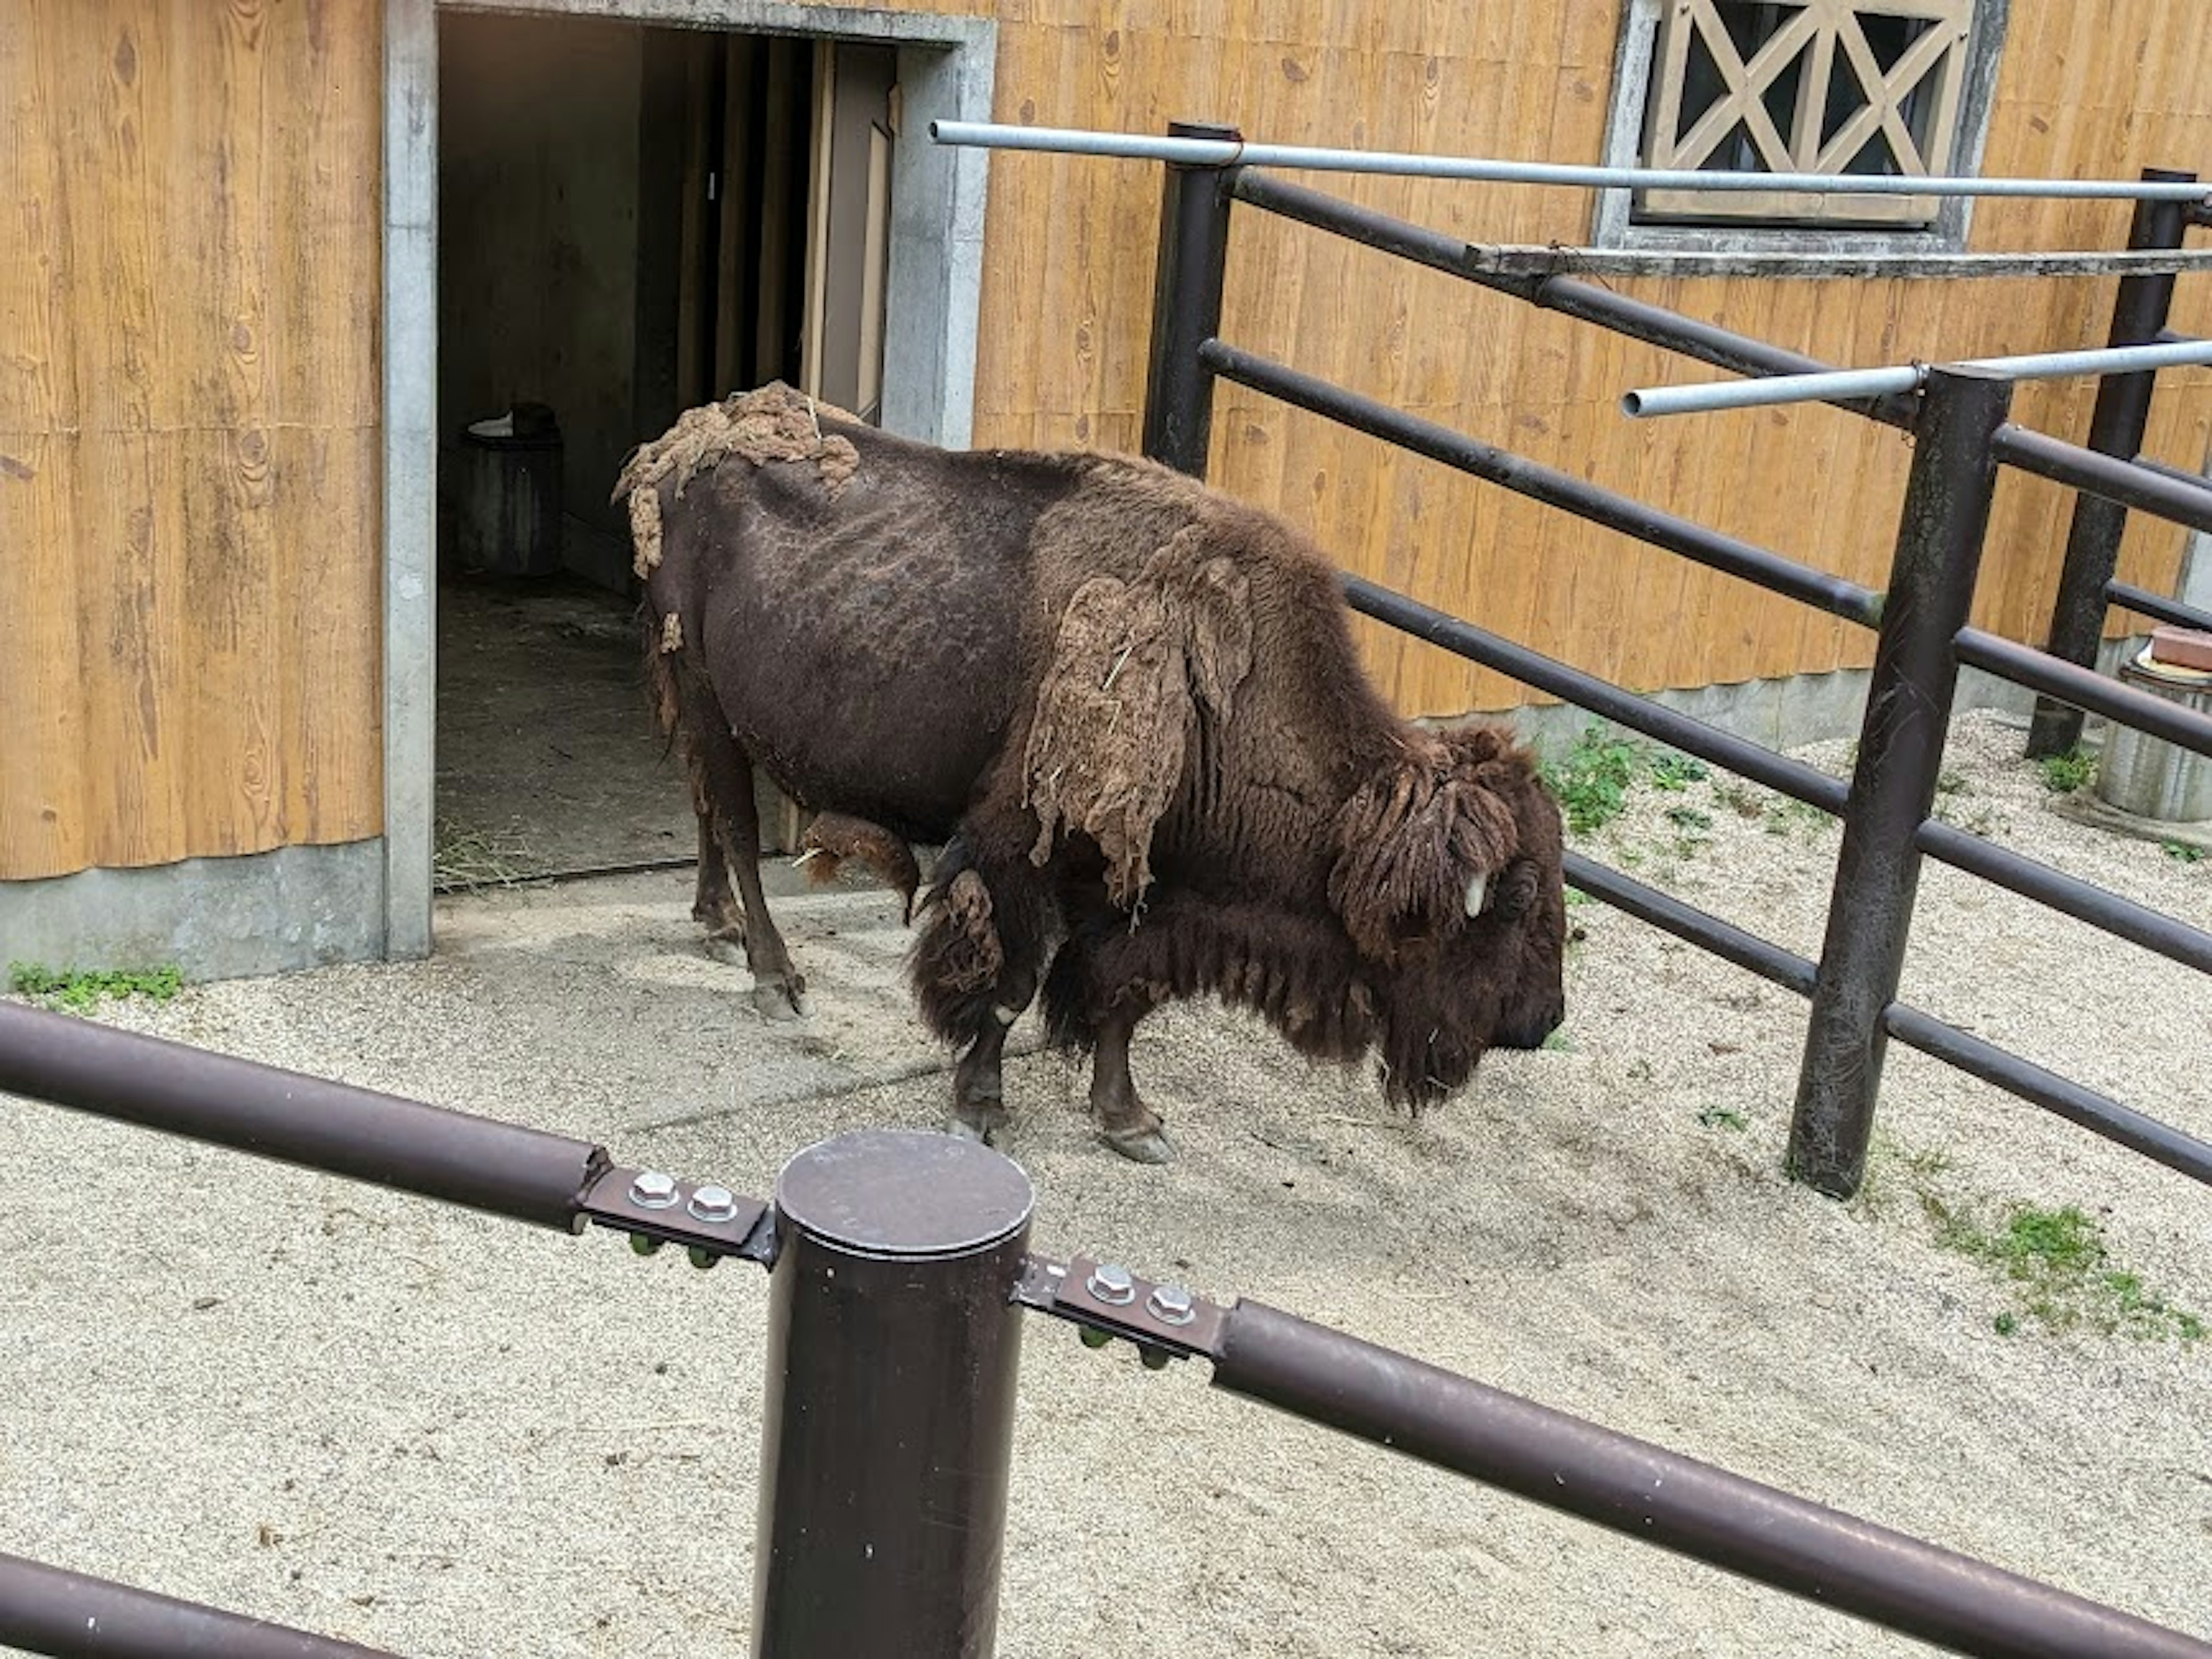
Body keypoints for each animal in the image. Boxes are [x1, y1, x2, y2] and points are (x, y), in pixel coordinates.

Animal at [615, 387, 1566, 1168]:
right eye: (1515, 899)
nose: (1544, 1019)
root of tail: (678, 443)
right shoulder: (1015, 855)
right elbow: (1010, 987)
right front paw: (981, 1110)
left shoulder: (1135, 889)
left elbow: (1119, 997)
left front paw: (1130, 1122)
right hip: (704, 691)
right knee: (737, 827)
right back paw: (775, 978)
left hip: (707, 707)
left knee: (706, 809)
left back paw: (717, 924)